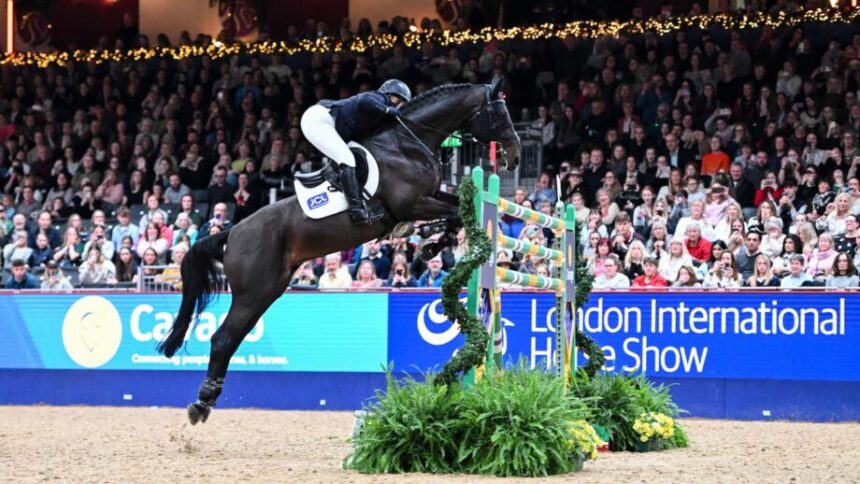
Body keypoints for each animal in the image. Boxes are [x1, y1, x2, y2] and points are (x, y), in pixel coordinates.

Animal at [157, 75, 520, 424]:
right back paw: (201, 404)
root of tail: (232, 232)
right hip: (253, 292)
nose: (515, 158)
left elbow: (457, 210)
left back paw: (206, 400)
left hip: (267, 291)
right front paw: (431, 241)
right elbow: (456, 210)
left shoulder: (430, 196)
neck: (409, 143)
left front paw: (432, 244)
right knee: (222, 340)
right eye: (500, 114)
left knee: (230, 339)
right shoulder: (412, 202)